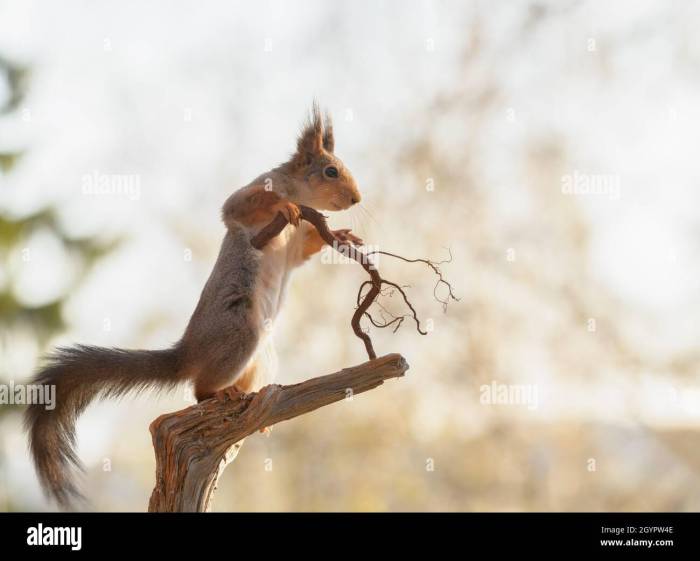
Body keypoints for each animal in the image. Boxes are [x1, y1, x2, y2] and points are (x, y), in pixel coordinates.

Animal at [24, 101, 364, 508]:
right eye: (331, 171)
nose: (356, 199)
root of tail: (186, 354)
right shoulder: (254, 192)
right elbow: (239, 205)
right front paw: (287, 206)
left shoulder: (296, 247)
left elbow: (305, 249)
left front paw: (339, 233)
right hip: (240, 333)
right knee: (199, 390)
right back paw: (221, 393)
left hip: (262, 356)